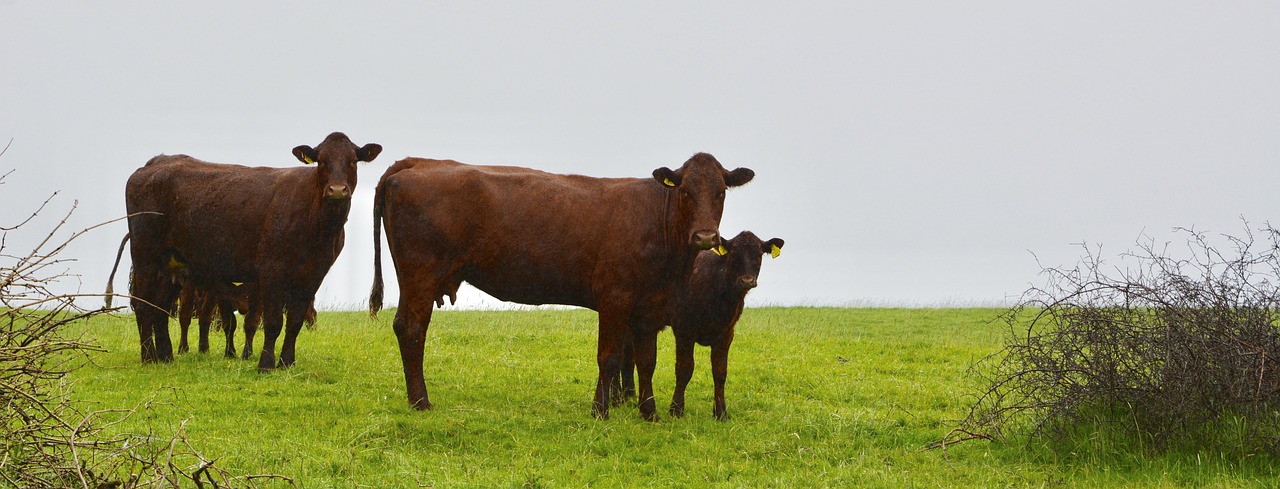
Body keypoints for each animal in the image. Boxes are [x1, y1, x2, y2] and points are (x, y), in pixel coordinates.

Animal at [121, 131, 381, 368]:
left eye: (352, 160)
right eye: (322, 161)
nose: (337, 190)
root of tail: (157, 162)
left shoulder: (312, 276)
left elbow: (295, 322)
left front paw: (287, 362)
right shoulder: (271, 271)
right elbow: (274, 322)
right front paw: (266, 364)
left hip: (172, 265)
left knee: (160, 308)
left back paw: (165, 357)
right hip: (145, 257)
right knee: (143, 305)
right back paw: (148, 358)